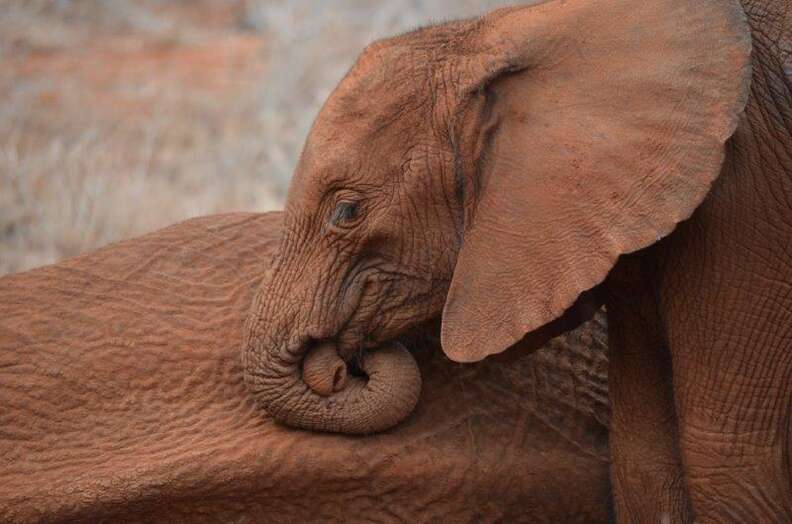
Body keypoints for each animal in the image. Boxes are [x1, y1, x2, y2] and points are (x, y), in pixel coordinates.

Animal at [243, 0, 792, 520]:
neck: (513, 29)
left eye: (347, 211)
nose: (342, 368)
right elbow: (643, 456)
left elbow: (725, 461)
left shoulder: (746, 199)